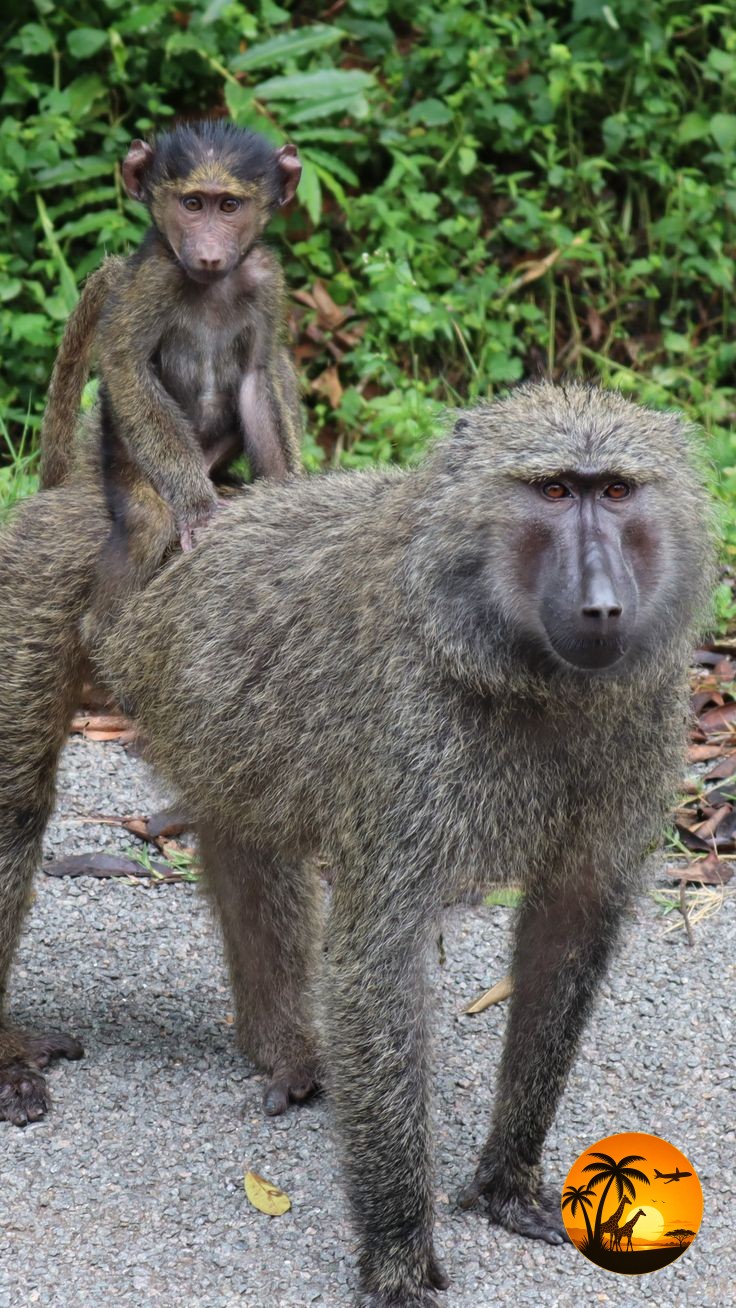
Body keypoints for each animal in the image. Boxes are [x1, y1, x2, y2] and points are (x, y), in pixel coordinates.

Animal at [0, 383, 713, 1306]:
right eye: (554, 491)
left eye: (618, 492)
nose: (601, 604)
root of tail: (72, 502)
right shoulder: (412, 739)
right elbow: (381, 957)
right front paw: (400, 1255)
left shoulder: (639, 722)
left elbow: (569, 928)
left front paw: (507, 1182)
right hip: (32, 592)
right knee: (16, 814)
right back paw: (10, 1056)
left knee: (244, 828)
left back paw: (284, 1052)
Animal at [39, 119, 303, 638]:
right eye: (192, 204)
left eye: (229, 206)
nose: (208, 254)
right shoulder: (154, 276)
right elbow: (125, 363)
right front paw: (199, 512)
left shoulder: (266, 277)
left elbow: (257, 376)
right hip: (127, 457)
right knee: (146, 523)